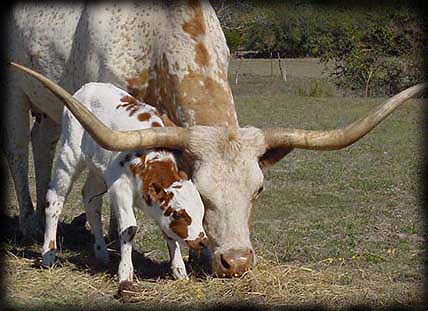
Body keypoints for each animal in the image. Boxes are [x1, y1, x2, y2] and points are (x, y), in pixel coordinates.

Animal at [42, 82, 207, 282]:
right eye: (178, 214)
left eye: (201, 212)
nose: (202, 241)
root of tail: (89, 86)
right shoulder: (120, 188)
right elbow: (129, 228)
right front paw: (125, 274)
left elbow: (167, 233)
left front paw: (179, 270)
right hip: (69, 155)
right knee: (55, 199)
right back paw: (48, 255)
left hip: (99, 171)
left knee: (91, 199)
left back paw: (102, 253)